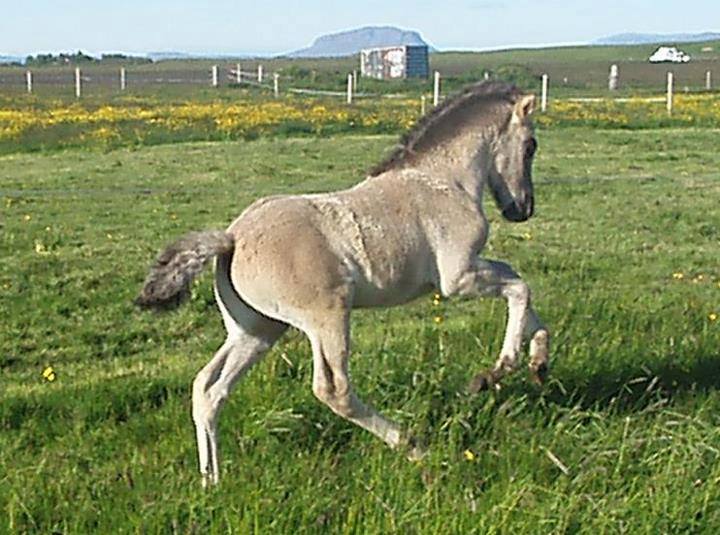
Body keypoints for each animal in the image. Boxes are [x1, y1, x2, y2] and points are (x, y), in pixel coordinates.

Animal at [136, 81, 550, 486]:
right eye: (531, 145)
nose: (522, 209)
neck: (442, 180)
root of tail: (231, 238)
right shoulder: (457, 277)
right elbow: (519, 288)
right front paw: (497, 370)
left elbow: (522, 290)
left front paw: (539, 362)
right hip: (327, 317)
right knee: (333, 390)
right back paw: (413, 446)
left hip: (256, 330)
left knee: (209, 388)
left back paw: (212, 481)